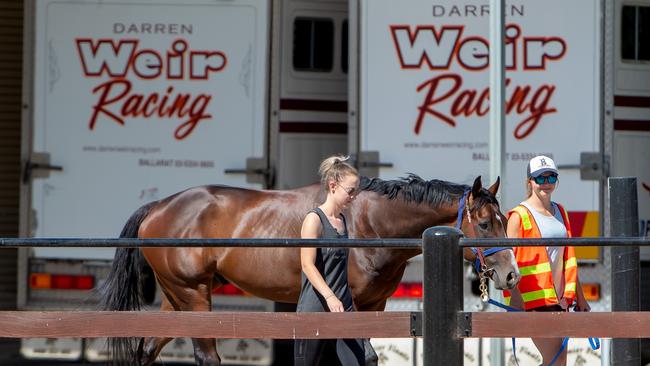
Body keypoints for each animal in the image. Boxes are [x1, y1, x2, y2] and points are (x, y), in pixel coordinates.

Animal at [100, 174, 516, 366]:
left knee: (145, 350)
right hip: (193, 295)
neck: (370, 221)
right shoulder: (353, 306)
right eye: (483, 223)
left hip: (178, 298)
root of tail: (158, 207)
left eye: (503, 219)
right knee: (207, 357)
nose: (510, 273)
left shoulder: (376, 305)